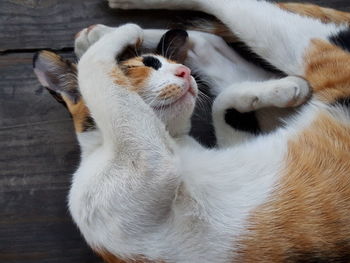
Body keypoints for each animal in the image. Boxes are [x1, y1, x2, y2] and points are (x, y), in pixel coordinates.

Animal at [33, 0, 350, 263]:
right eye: (148, 65)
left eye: (170, 64)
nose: (184, 72)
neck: (174, 141)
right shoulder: (148, 164)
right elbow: (95, 66)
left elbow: (221, 105)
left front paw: (276, 90)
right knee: (213, 35)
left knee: (207, 36)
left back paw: (99, 32)